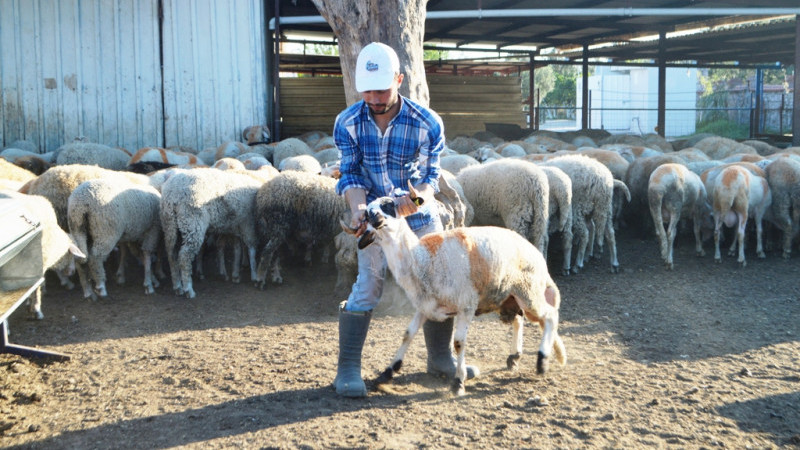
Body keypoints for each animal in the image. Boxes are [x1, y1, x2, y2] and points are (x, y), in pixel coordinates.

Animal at [346, 195, 564, 396]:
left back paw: (542, 361)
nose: (377, 219)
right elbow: (407, 335)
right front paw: (388, 372)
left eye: (389, 205)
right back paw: (515, 356)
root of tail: (535, 253)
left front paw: (458, 382)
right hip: (509, 296)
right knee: (520, 319)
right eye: (367, 214)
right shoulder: (425, 307)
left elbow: (459, 343)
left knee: (550, 315)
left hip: (529, 292)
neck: (422, 258)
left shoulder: (466, 306)